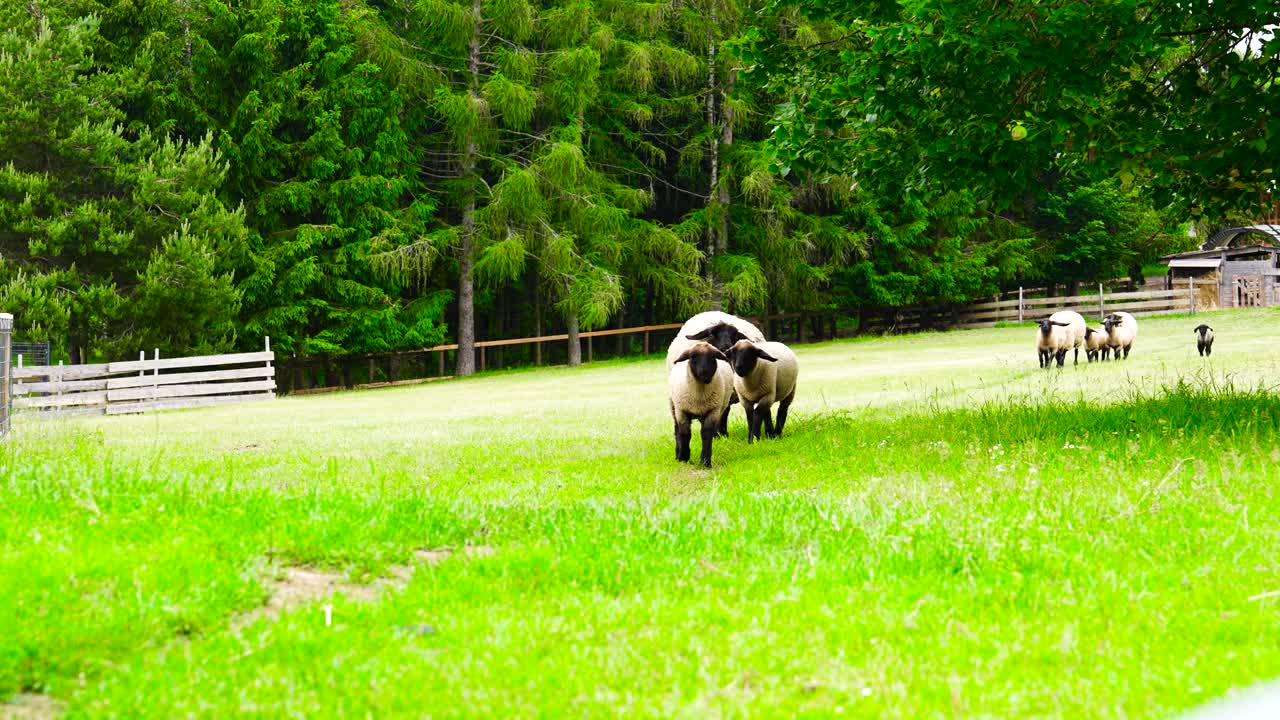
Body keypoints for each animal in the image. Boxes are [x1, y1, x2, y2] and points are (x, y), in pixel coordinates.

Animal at [670, 340, 732, 468]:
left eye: (712, 357)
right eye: (693, 357)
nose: (705, 373)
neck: (699, 396)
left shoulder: (713, 411)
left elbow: (706, 434)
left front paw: (705, 461)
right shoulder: (682, 411)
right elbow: (684, 434)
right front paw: (683, 458)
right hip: (673, 406)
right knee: (676, 430)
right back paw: (678, 454)